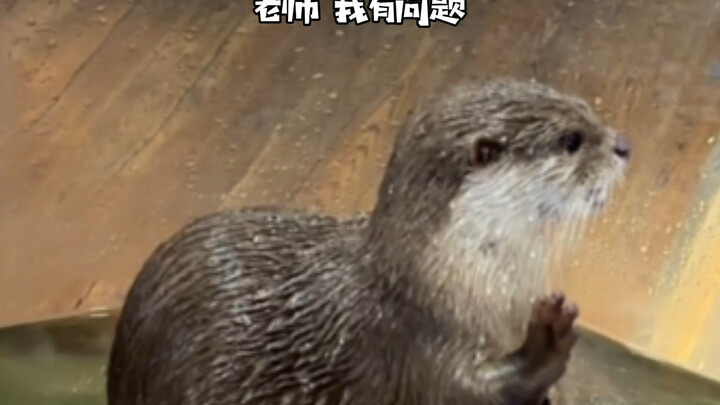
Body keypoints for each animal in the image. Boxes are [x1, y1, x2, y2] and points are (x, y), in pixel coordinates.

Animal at [108, 79, 629, 405]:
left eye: (588, 110)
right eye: (571, 141)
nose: (623, 145)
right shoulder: (418, 349)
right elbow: (474, 392)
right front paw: (550, 338)